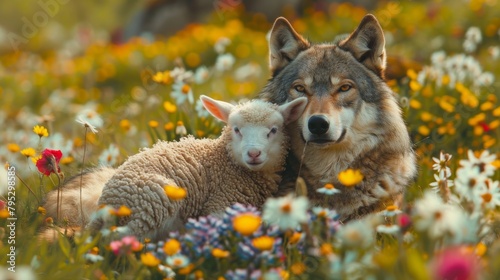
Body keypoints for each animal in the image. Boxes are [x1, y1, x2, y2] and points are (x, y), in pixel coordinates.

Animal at [90, 95, 308, 240]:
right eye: (237, 130)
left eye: (273, 130)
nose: (253, 153)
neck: (227, 162)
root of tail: (105, 205)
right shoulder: (221, 203)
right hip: (151, 202)